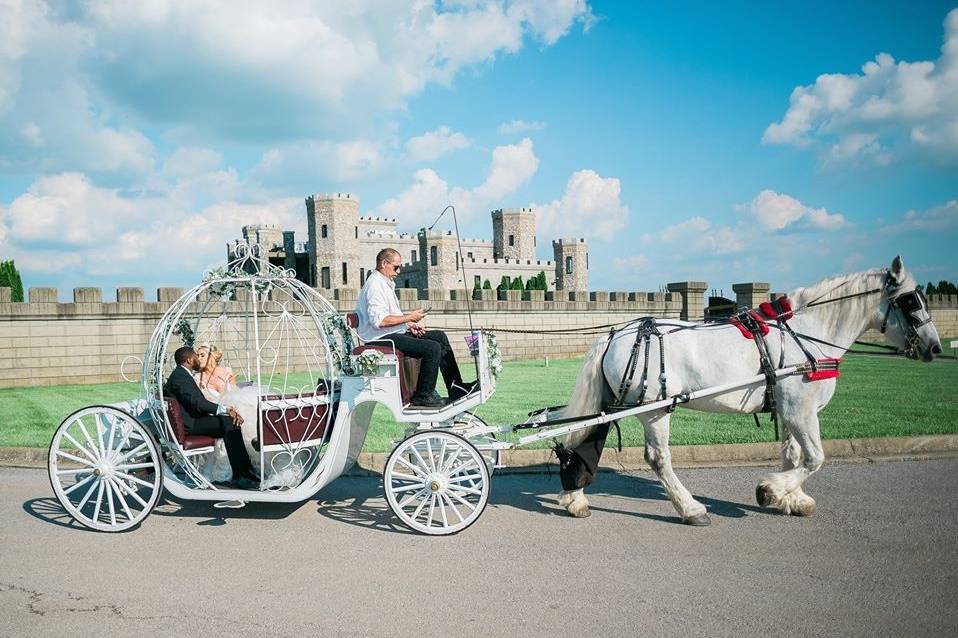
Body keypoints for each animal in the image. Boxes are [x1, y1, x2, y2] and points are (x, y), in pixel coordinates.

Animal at [560, 256, 940, 524]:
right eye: (911, 302)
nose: (934, 347)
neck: (805, 335)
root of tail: (615, 335)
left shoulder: (792, 411)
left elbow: (794, 455)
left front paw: (792, 498)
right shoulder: (801, 410)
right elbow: (815, 457)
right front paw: (770, 490)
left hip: (613, 402)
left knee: (587, 440)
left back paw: (575, 499)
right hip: (654, 408)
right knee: (658, 458)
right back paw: (691, 508)